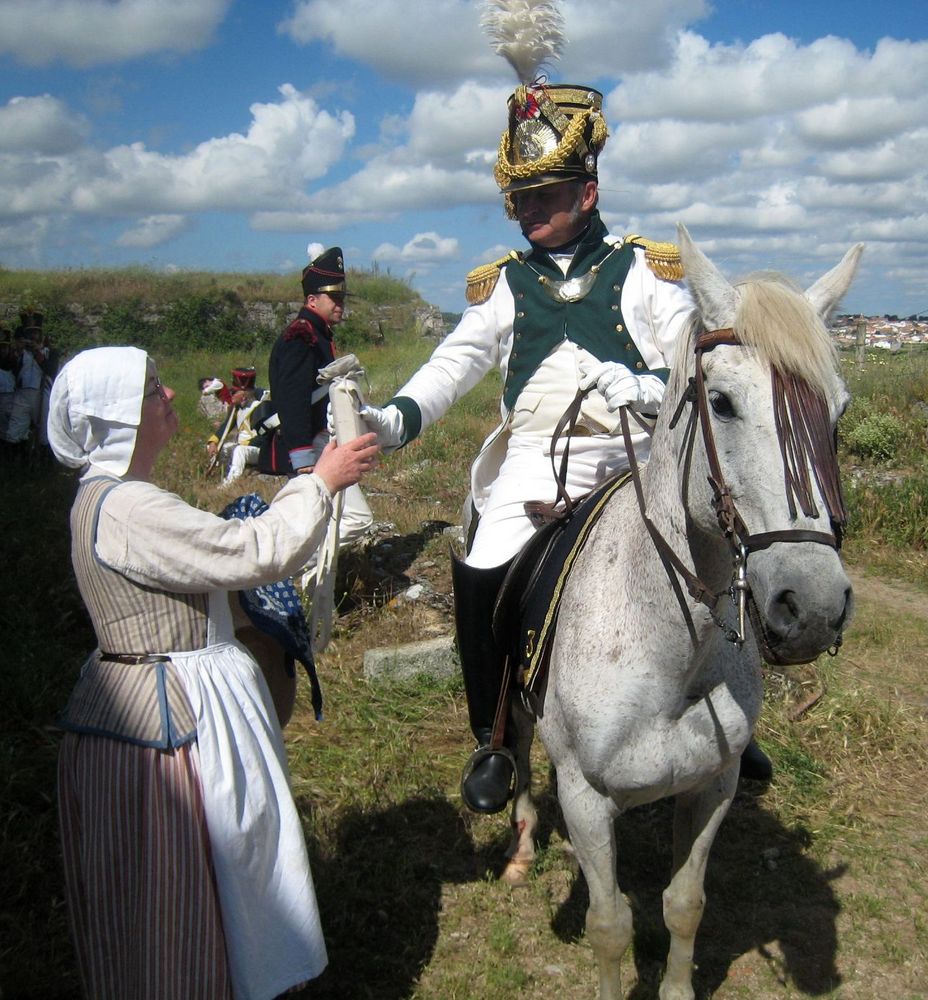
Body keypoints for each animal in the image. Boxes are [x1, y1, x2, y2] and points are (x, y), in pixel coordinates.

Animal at [500, 227, 864, 1000]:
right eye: (721, 403)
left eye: (838, 410)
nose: (814, 608)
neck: (671, 652)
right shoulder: (585, 800)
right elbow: (610, 923)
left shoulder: (710, 789)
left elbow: (684, 904)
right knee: (510, 738)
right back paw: (518, 835)